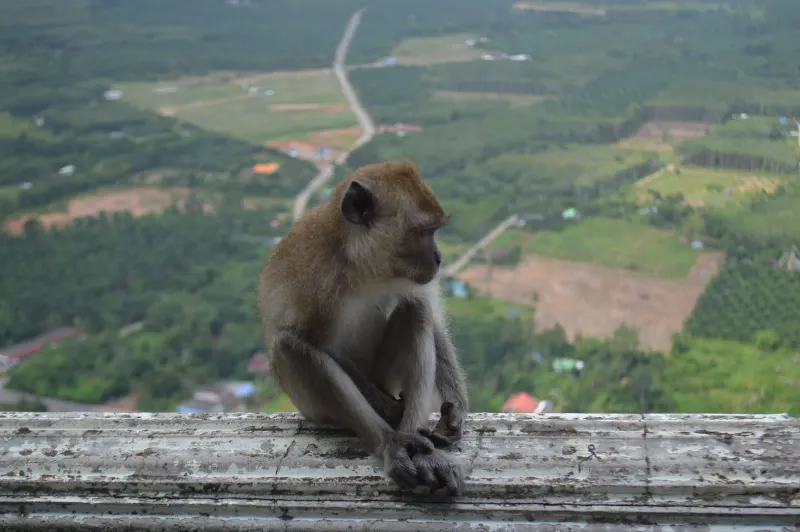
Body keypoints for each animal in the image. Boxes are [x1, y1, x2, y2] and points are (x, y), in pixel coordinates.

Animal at [257, 160, 469, 498]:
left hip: (384, 374)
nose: (438, 258)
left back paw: (417, 443)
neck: (364, 267)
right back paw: (393, 443)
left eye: (435, 232)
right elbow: (315, 345)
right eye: (423, 232)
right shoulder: (319, 284)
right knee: (290, 347)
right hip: (311, 407)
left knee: (415, 312)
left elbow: (425, 308)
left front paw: (456, 412)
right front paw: (394, 420)